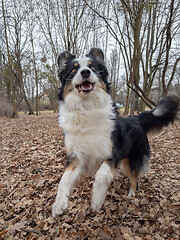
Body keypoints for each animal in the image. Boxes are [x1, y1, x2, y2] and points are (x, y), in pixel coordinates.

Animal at [51, 47, 179, 217]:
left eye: (93, 67)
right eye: (73, 69)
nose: (85, 72)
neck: (86, 108)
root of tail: (136, 118)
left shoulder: (112, 154)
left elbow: (101, 174)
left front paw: (97, 200)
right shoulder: (75, 157)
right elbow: (63, 180)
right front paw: (59, 204)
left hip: (132, 160)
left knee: (134, 179)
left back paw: (131, 195)